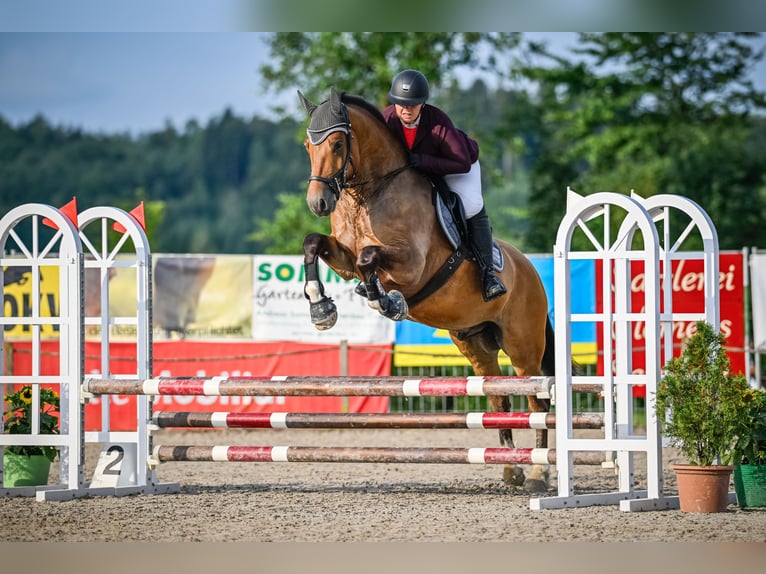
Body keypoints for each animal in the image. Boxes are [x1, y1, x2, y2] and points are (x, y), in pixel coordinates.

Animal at [296, 88, 556, 492]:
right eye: (309, 144)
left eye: (337, 143)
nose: (318, 203)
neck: (370, 193)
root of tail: (531, 271)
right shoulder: (343, 259)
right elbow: (314, 243)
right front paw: (321, 308)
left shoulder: (412, 264)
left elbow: (370, 258)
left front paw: (388, 302)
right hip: (476, 344)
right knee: (499, 400)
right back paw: (510, 469)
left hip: (523, 347)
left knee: (537, 405)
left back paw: (538, 475)